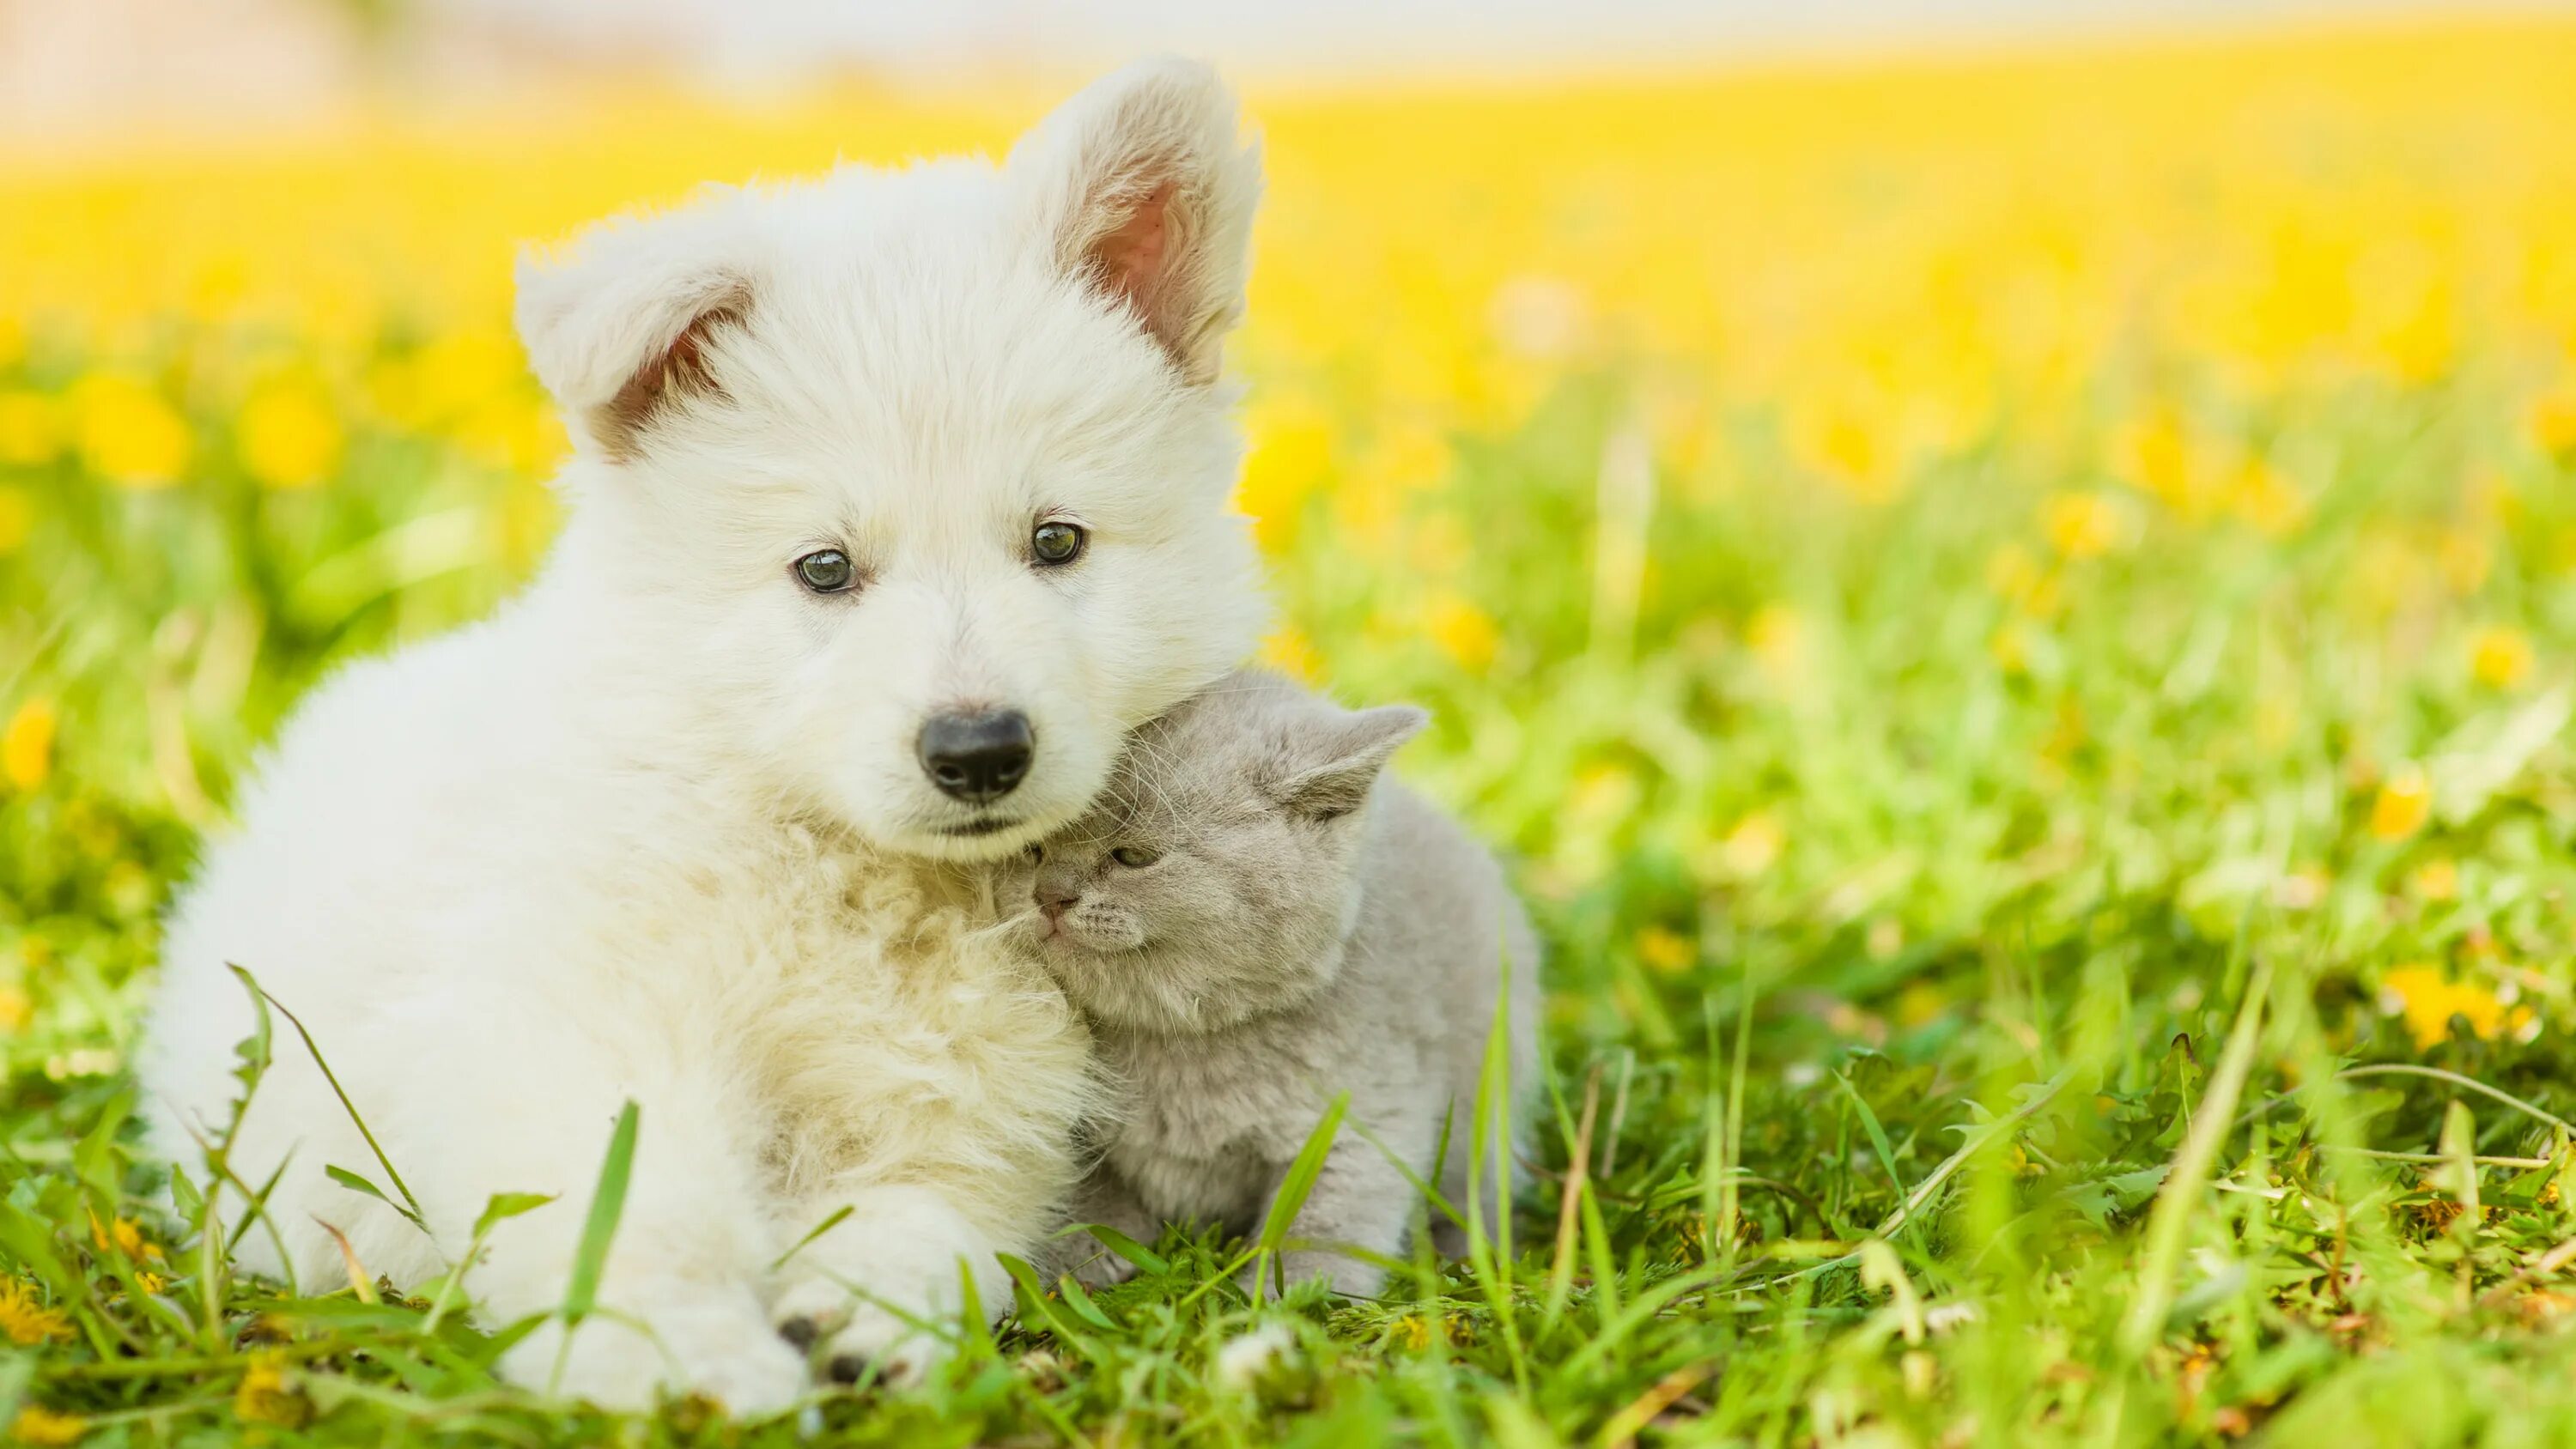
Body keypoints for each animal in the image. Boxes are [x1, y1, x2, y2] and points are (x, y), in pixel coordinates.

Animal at [136, 62, 1262, 1410]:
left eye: (1057, 541)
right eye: (824, 568)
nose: (980, 750)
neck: (847, 868)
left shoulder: (991, 1097)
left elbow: (940, 1204)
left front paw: (872, 1306)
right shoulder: (573, 1019)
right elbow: (635, 1202)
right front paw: (691, 1360)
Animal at [994, 669, 1535, 1292]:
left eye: (1132, 856)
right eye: (1032, 847)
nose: (1049, 894)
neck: (1185, 1043)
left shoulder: (1363, 1113)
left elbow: (1324, 1218)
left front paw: (1294, 1294)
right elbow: (1078, 1179)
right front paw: (1076, 1252)